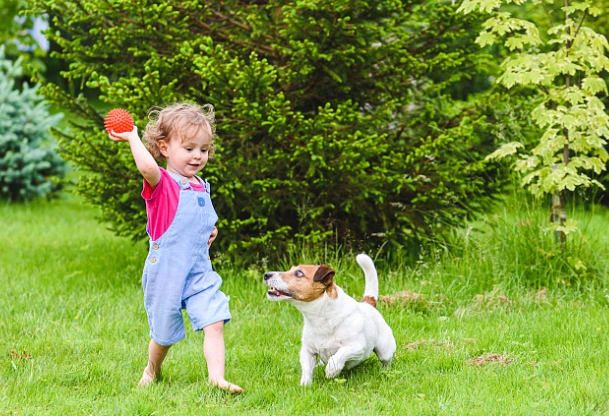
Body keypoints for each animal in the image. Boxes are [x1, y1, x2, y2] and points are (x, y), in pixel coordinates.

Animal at [264, 254, 396, 386]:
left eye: (299, 273)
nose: (266, 274)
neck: (321, 318)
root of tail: (368, 304)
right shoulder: (308, 351)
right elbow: (306, 368)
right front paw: (305, 385)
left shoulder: (357, 347)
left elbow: (341, 353)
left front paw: (332, 369)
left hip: (385, 350)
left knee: (386, 361)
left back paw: (384, 371)